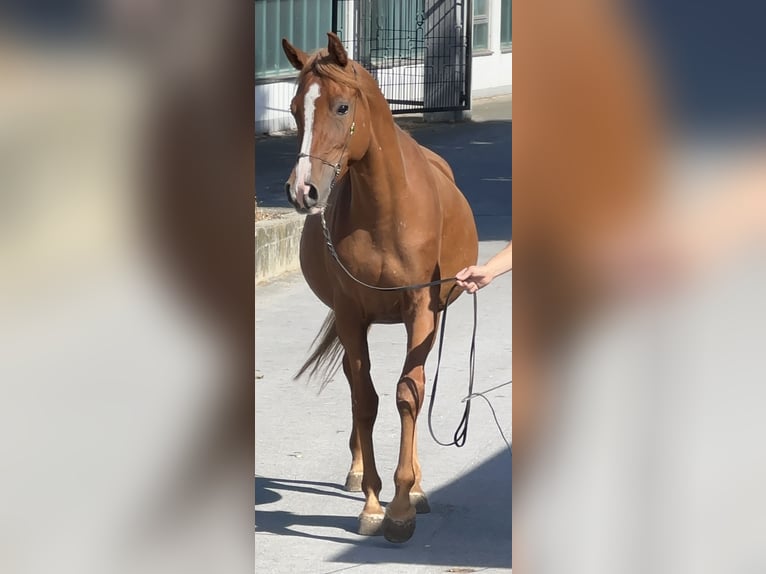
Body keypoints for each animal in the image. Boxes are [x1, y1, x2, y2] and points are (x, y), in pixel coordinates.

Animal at [281, 32, 479, 543]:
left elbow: (408, 394)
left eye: (342, 106)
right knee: (356, 386)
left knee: (416, 389)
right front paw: (373, 503)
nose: (303, 191)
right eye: (294, 108)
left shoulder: (421, 310)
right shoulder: (351, 314)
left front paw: (403, 506)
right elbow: (364, 399)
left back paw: (419, 487)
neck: (387, 211)